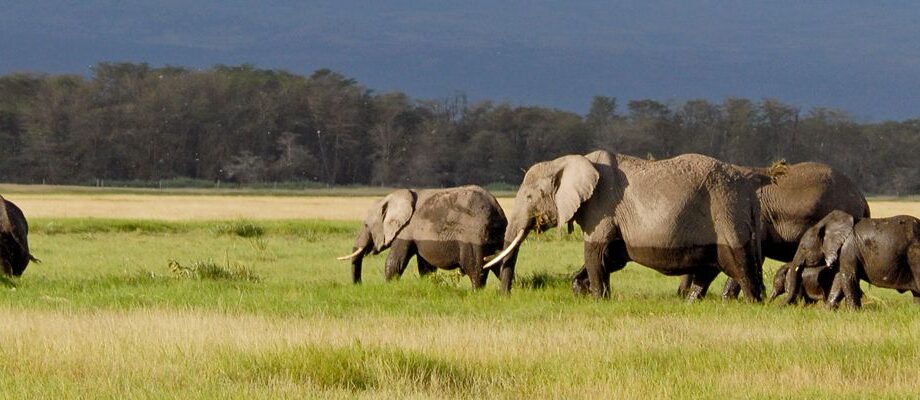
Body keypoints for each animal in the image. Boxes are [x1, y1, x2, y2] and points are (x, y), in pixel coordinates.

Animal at [336, 185, 507, 289]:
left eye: (366, 225)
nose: (358, 285)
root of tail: (496, 208)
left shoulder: (405, 231)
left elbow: (395, 262)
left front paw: (389, 287)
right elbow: (426, 267)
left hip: (473, 237)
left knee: (475, 268)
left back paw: (476, 293)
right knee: (497, 263)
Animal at [483, 150, 765, 300]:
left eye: (530, 197)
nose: (505, 296)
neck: (567, 161)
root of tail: (748, 190)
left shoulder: (601, 206)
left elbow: (595, 252)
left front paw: (598, 299)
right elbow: (613, 257)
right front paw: (583, 292)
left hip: (725, 210)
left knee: (737, 261)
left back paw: (753, 303)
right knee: (710, 267)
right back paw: (692, 303)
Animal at [781, 210, 920, 309]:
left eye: (803, 248)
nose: (778, 307)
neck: (825, 223)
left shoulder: (848, 250)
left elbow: (848, 277)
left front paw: (853, 312)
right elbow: (839, 279)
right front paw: (827, 311)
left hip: (914, 254)